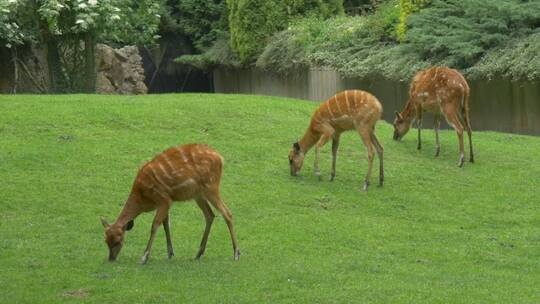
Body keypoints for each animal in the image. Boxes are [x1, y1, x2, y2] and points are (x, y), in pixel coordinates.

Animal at [100, 143, 239, 264]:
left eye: (118, 240)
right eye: (106, 240)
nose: (111, 258)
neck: (142, 200)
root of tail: (220, 158)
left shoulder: (164, 199)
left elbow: (155, 225)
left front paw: (144, 257)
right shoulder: (165, 202)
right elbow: (166, 223)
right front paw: (170, 253)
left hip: (211, 186)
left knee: (227, 213)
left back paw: (236, 254)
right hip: (198, 194)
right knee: (210, 214)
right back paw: (198, 254)